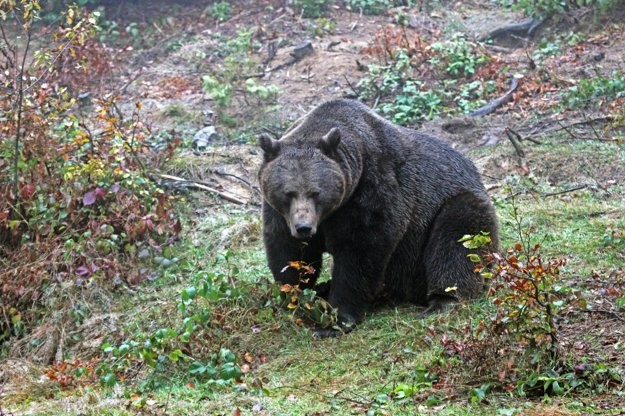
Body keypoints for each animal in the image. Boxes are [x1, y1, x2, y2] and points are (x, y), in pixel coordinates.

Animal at [258, 98, 498, 338]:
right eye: (288, 193)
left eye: (316, 192)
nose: (304, 227)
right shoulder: (280, 214)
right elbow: (288, 250)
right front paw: (293, 295)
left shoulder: (373, 190)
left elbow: (360, 252)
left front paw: (335, 321)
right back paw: (323, 287)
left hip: (448, 211)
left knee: (457, 239)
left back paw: (442, 301)